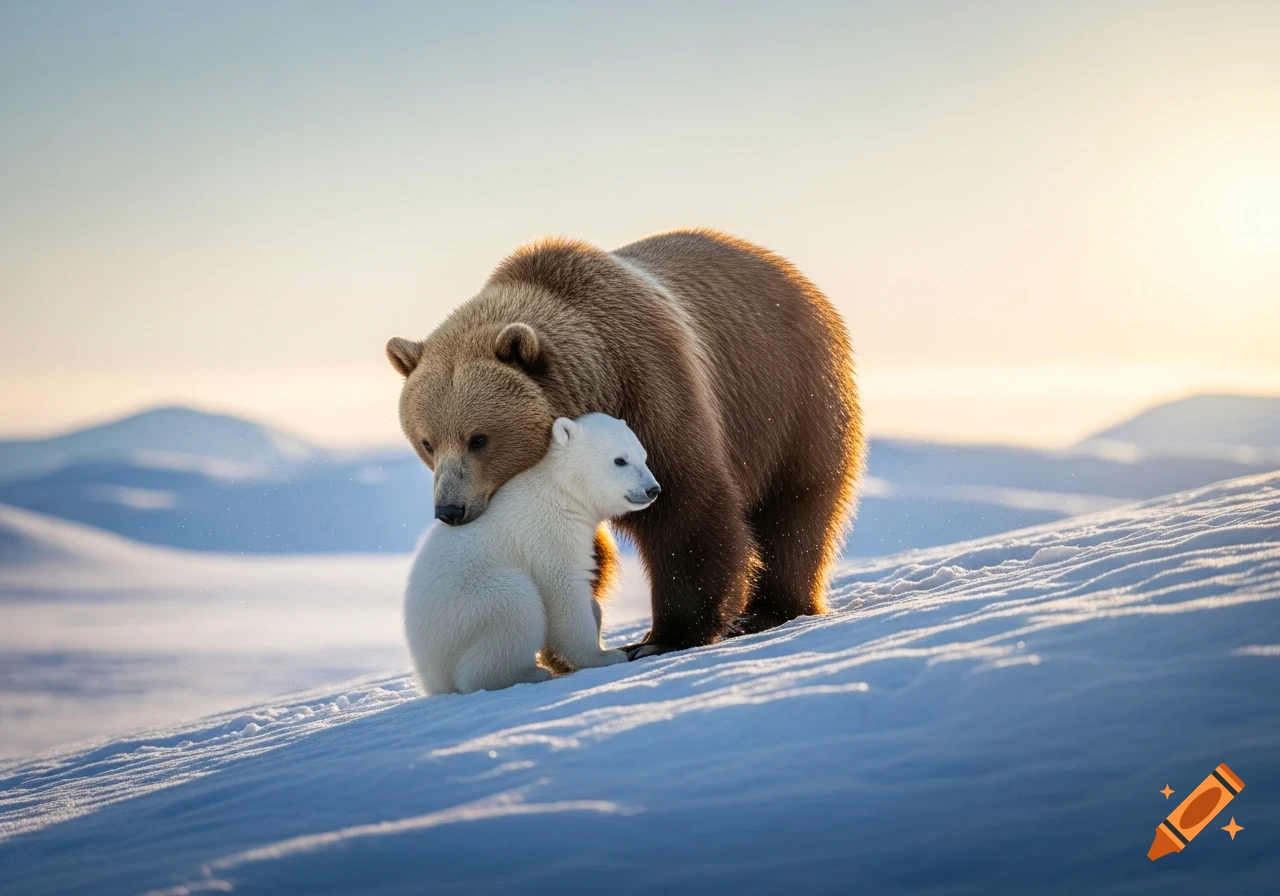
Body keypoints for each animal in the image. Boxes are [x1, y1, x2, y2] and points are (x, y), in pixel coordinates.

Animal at [388, 228, 864, 657]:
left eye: (479, 438)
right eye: (427, 442)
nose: (449, 509)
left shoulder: (652, 390)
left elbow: (688, 511)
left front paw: (663, 637)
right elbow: (582, 551)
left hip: (793, 394)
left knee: (797, 507)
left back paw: (772, 610)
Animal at [403, 413, 661, 695]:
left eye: (643, 456)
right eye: (620, 460)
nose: (653, 489)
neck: (561, 490)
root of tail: (428, 675)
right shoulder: (549, 533)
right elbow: (563, 592)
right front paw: (604, 655)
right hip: (469, 609)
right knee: (512, 605)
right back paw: (529, 673)